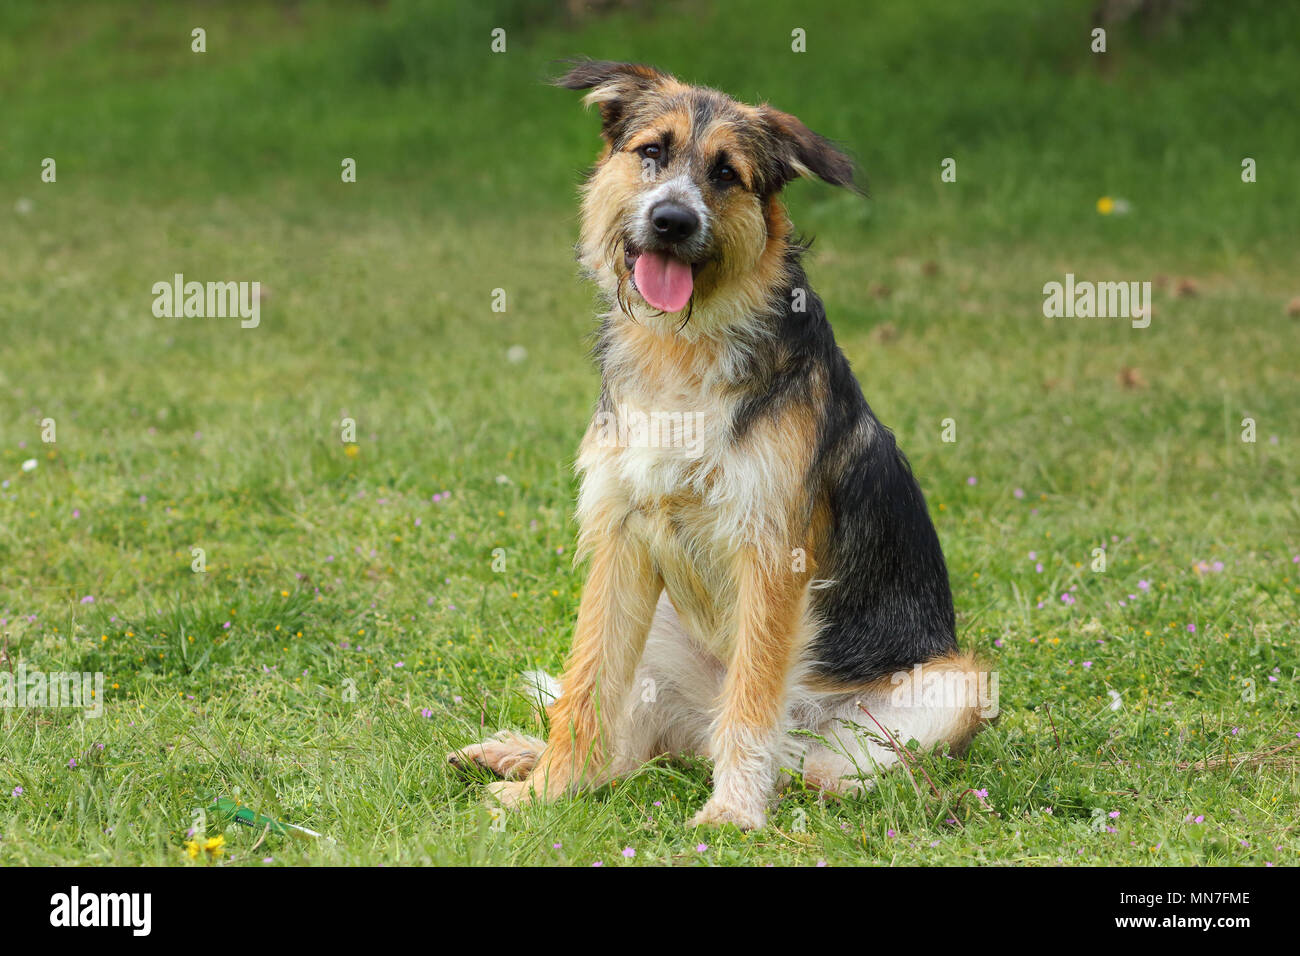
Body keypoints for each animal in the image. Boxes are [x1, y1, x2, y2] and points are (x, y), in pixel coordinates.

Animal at [447, 59, 982, 832]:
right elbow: (585, 688)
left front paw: (732, 815)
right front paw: (547, 791)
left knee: (817, 765)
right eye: (651, 152)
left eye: (727, 173)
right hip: (660, 635)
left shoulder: (772, 552)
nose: (673, 220)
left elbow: (752, 702)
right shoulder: (621, 534)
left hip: (953, 686)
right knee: (630, 748)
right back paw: (521, 757)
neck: (683, 348)